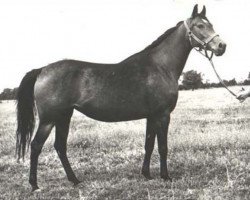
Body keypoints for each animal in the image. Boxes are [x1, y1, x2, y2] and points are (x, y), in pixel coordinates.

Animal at [15, 4, 227, 191]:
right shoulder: (163, 115)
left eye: (211, 24)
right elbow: (163, 147)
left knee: (60, 146)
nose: (221, 46)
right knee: (36, 146)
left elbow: (149, 144)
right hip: (49, 119)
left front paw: (146, 174)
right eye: (200, 25)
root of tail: (42, 69)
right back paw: (35, 185)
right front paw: (166, 177)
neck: (160, 66)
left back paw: (74, 180)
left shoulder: (152, 116)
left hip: (63, 117)